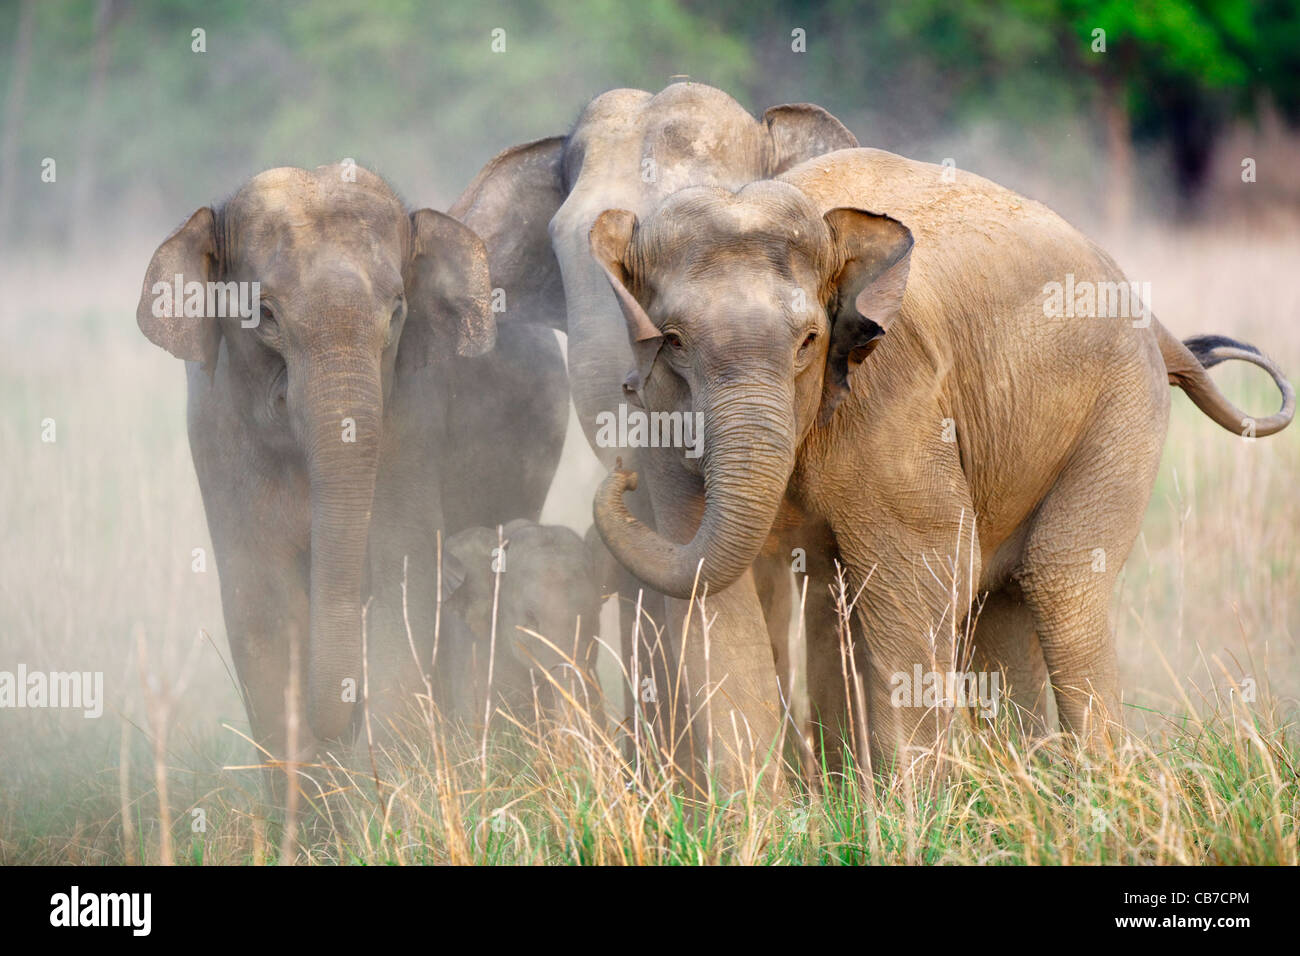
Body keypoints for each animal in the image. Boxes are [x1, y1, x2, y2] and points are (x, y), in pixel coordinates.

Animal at [134, 166, 572, 780]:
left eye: (397, 312)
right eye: (264, 314)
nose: (336, 729)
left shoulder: (410, 421)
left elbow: (400, 582)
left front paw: (394, 791)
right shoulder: (216, 428)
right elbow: (260, 604)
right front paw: (313, 795)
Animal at [587, 151, 1289, 780]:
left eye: (809, 340)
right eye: (672, 341)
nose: (620, 474)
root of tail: (1156, 325)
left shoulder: (893, 390)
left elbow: (923, 569)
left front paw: (914, 816)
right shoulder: (664, 411)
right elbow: (708, 593)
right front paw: (753, 823)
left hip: (1123, 410)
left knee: (1059, 580)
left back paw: (1102, 788)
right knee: (1006, 600)